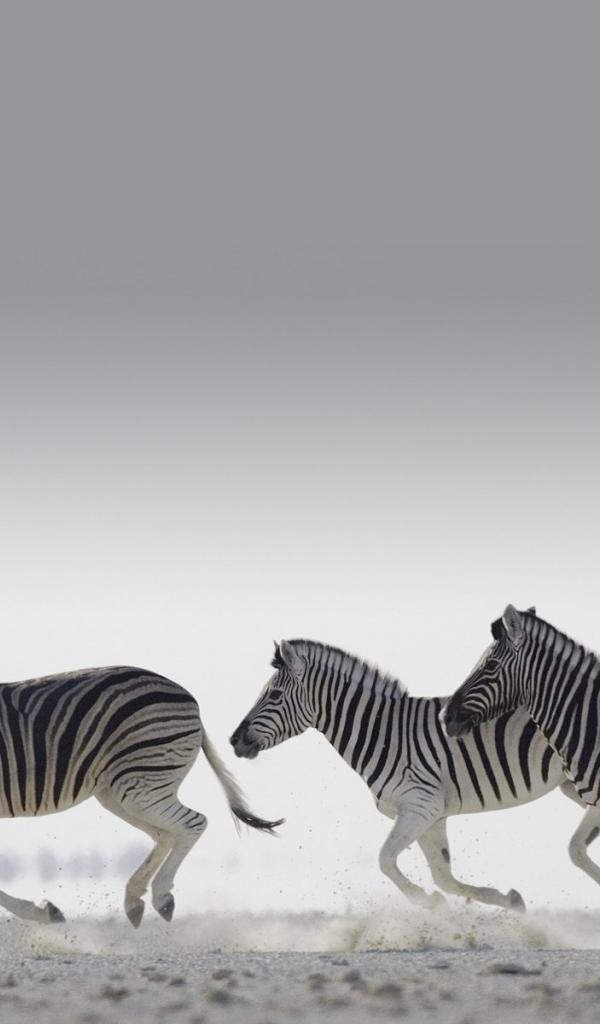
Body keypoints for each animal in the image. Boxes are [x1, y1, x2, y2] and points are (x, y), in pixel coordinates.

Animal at [0, 664, 282, 927]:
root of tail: (188, 696)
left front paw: (40, 911)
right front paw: (42, 911)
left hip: (139, 784)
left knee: (192, 823)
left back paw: (160, 896)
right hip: (121, 791)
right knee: (166, 833)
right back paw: (136, 898)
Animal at [230, 637, 600, 910]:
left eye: (274, 695)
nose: (234, 740)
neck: (383, 733)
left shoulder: (420, 805)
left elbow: (385, 860)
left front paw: (427, 902)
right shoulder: (431, 816)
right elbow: (442, 875)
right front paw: (506, 900)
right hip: (572, 785)